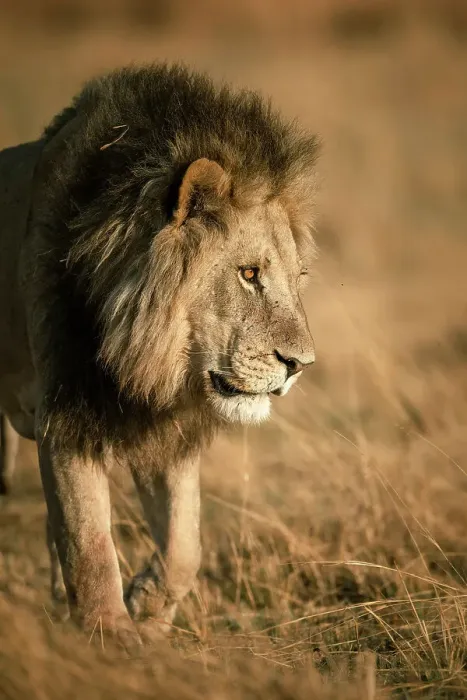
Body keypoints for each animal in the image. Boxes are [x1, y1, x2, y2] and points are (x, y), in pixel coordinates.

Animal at [0, 63, 319, 648]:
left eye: (299, 277)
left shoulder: (167, 431)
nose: (300, 366)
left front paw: (146, 606)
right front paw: (111, 633)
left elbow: (185, 543)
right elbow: (89, 540)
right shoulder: (66, 414)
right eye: (248, 273)